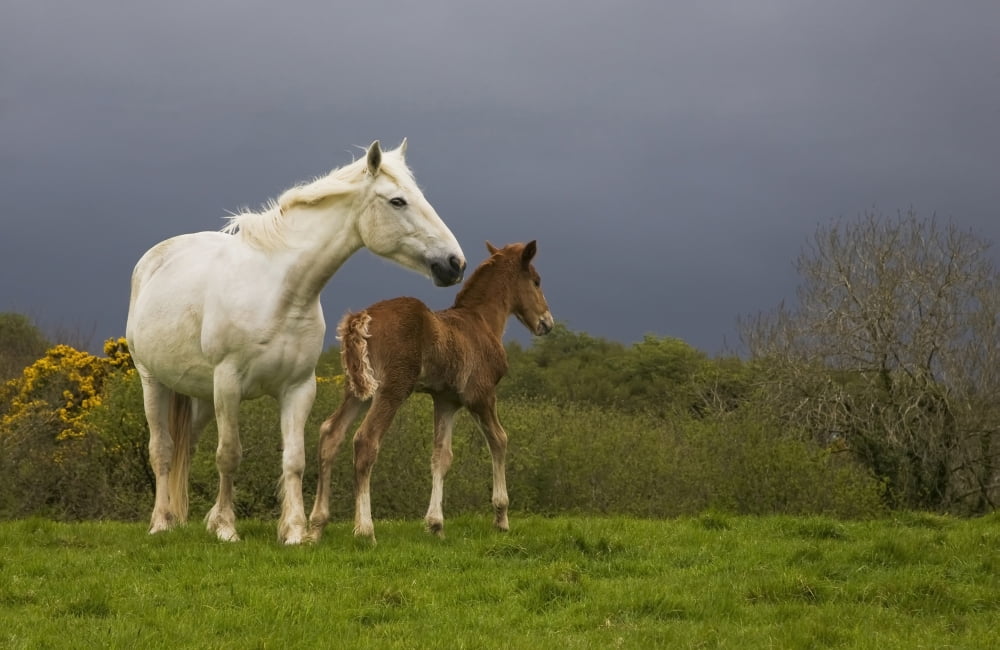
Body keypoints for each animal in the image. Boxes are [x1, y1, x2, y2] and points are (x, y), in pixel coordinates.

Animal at [126, 140, 466, 545]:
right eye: (397, 201)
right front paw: (226, 527)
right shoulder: (228, 384)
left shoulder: (299, 388)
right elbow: (229, 455)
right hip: (155, 382)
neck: (279, 293)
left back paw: (181, 519)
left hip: (201, 395)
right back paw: (161, 522)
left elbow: (295, 460)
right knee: (162, 450)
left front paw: (294, 531)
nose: (455, 263)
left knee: (185, 448)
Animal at [307, 240, 554, 543]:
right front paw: (501, 517)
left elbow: (441, 456)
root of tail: (361, 318)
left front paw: (435, 524)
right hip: (393, 389)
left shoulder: (446, 400)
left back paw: (316, 527)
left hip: (359, 390)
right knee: (365, 440)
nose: (547, 322)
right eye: (536, 281)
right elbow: (499, 440)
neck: (482, 322)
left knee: (331, 433)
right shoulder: (481, 396)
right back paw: (365, 530)